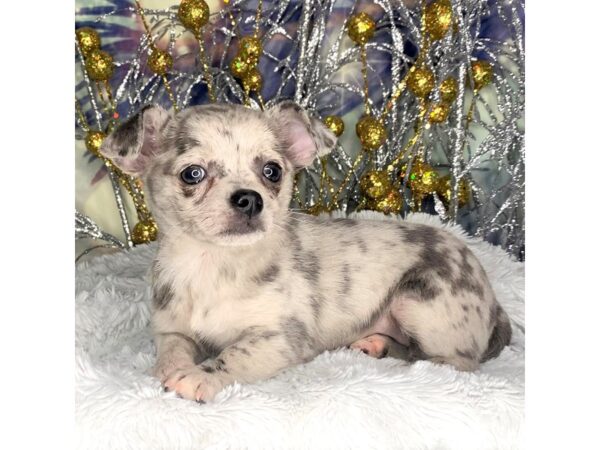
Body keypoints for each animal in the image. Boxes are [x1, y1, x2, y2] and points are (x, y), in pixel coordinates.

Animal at [99, 103, 510, 404]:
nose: (250, 199)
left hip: (418, 301)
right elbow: (171, 352)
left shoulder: (278, 338)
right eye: (192, 174)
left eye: (272, 171)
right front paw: (171, 369)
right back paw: (376, 343)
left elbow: (233, 355)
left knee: (454, 361)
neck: (213, 264)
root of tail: (493, 300)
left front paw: (200, 375)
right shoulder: (173, 330)